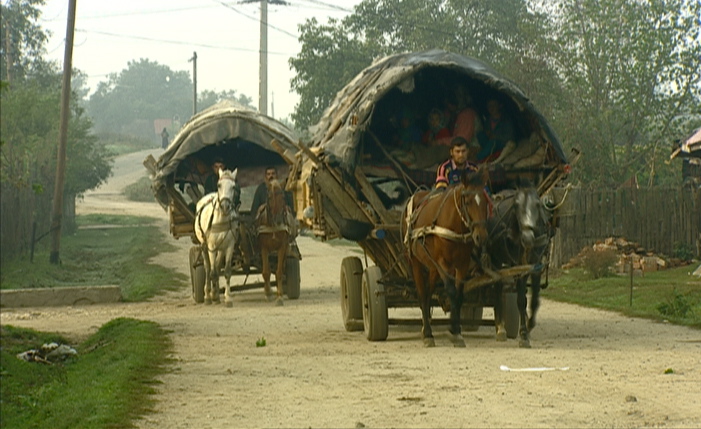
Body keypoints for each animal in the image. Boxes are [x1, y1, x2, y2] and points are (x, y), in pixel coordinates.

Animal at [194, 169, 241, 306]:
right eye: (219, 185)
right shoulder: (211, 247)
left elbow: (226, 271)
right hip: (204, 247)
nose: (225, 206)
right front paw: (211, 296)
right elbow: (212, 272)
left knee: (217, 266)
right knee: (208, 268)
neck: (221, 219)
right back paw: (208, 294)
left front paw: (227, 298)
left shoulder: (229, 246)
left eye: (233, 187)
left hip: (221, 249)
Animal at [402, 166, 490, 346]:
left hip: (432, 266)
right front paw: (453, 331)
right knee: (422, 294)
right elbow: (451, 291)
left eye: (485, 203)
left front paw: (455, 330)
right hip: (415, 261)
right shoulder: (443, 263)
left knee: (429, 292)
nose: (481, 237)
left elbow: (459, 295)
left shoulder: (462, 264)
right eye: (468, 202)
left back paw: (426, 325)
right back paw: (427, 333)